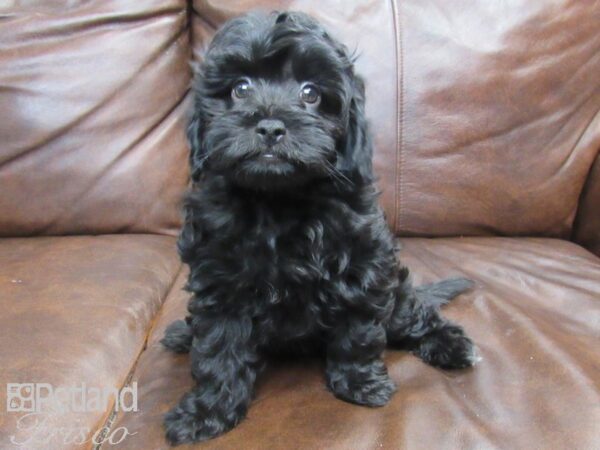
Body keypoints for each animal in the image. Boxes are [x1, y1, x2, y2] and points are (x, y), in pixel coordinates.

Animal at [161, 10, 478, 446]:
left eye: (311, 93)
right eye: (240, 88)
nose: (271, 126)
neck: (277, 200)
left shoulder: (363, 265)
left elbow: (358, 330)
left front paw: (359, 383)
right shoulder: (219, 278)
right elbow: (219, 345)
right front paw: (207, 411)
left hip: (397, 294)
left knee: (415, 316)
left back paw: (451, 345)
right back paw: (182, 333)